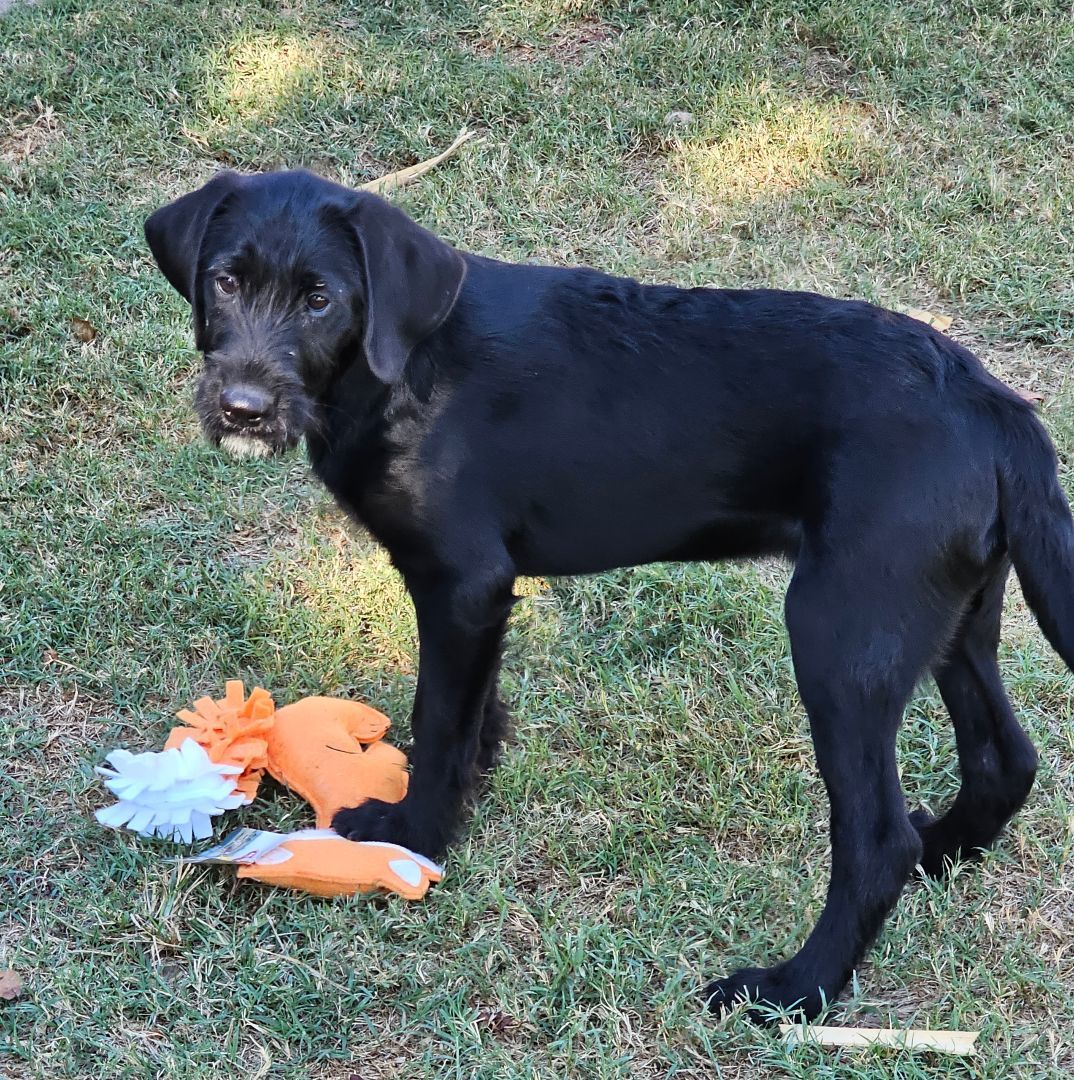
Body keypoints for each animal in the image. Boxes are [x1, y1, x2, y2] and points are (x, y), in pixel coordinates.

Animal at [144, 168, 1071, 1019]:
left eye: (320, 299)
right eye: (226, 280)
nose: (242, 408)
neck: (397, 371)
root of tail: (995, 404)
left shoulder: (461, 580)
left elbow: (438, 720)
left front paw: (414, 834)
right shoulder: (480, 596)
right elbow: (473, 713)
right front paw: (474, 784)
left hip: (840, 634)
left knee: (877, 840)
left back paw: (794, 989)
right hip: (950, 618)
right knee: (1005, 759)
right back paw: (942, 850)